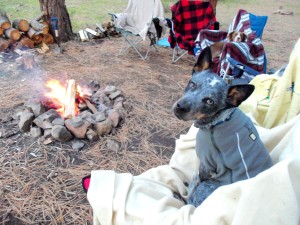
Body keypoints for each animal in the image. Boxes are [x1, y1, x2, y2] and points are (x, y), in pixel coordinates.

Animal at [172, 46, 274, 207]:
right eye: (193, 84)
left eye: (209, 101)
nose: (180, 107)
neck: (220, 121)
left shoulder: (206, 164)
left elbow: (198, 180)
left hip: (208, 186)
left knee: (191, 203)